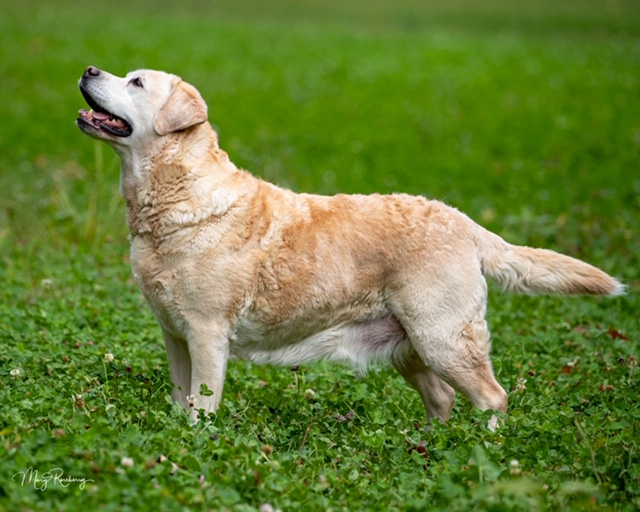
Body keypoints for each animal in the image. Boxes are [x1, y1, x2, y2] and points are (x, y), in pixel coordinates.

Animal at [76, 68, 624, 428]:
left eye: (136, 83)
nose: (88, 68)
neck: (176, 195)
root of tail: (463, 221)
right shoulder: (174, 335)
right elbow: (179, 399)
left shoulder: (208, 335)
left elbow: (201, 407)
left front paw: (198, 448)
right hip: (411, 347)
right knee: (443, 400)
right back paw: (431, 448)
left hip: (443, 337)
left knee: (494, 397)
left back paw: (481, 455)